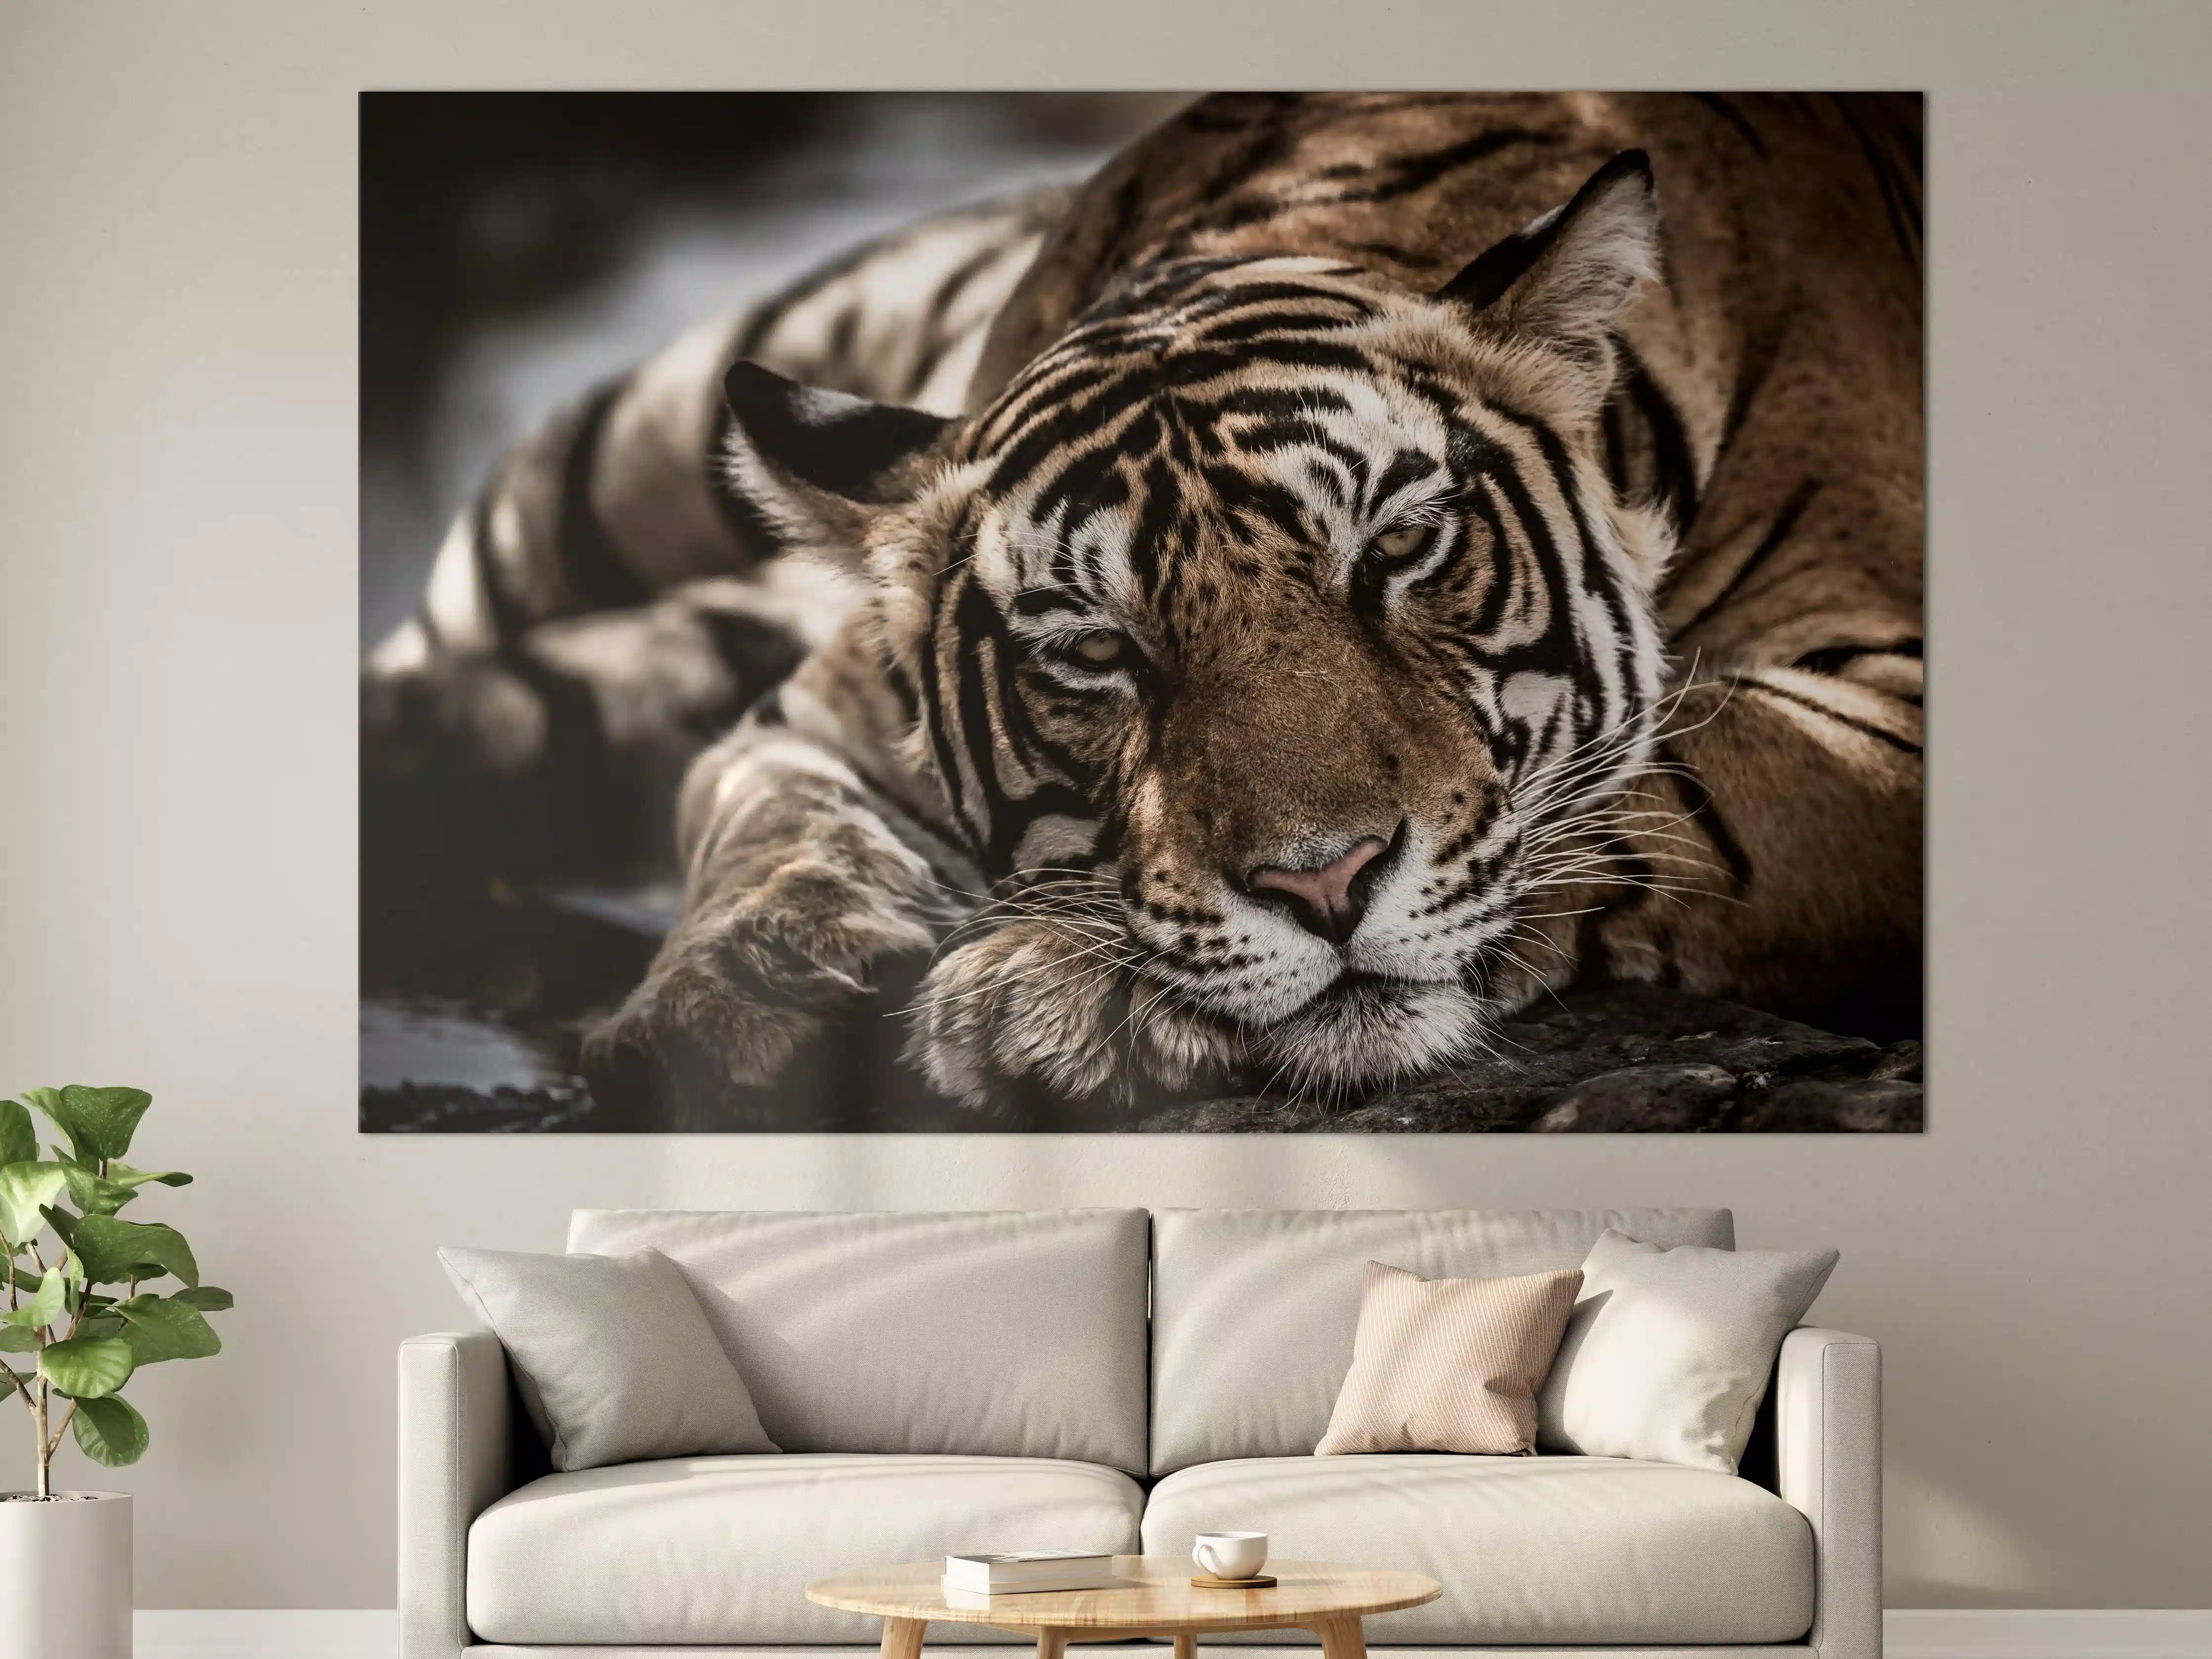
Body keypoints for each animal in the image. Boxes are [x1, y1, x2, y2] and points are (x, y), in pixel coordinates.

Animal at [367, 93, 1923, 1128]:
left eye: (1401, 546)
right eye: (1093, 651)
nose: (1324, 885)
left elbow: (1675, 784)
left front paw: (1054, 991)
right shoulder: (813, 706)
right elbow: (760, 811)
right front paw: (728, 997)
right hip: (612, 459)